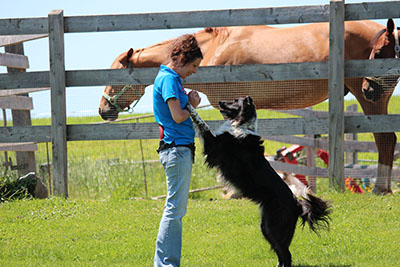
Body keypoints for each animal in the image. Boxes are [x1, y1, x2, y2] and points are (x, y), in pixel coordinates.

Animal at [97, 19, 400, 195]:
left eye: (114, 76)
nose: (103, 110)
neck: (216, 47)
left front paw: (233, 190)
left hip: (369, 97)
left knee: (385, 139)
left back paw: (380, 189)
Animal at [188, 97, 332, 267]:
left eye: (235, 101)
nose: (220, 102)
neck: (241, 124)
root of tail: (297, 204)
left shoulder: (214, 146)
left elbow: (200, 122)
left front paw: (187, 103)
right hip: (266, 227)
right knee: (281, 252)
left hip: (273, 226)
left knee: (286, 254)